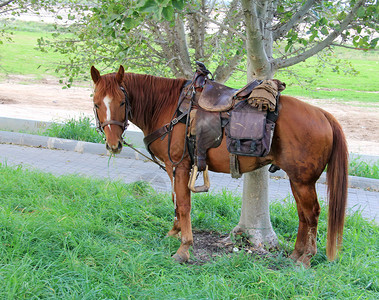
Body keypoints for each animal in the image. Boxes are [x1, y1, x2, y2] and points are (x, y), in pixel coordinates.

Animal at [90, 65, 348, 268]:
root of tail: (324, 115)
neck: (169, 107)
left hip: (302, 181)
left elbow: (184, 204)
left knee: (312, 214)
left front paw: (184, 248)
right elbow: (175, 199)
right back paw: (296, 255)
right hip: (297, 180)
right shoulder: (172, 167)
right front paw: (174, 232)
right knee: (303, 215)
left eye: (122, 101)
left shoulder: (180, 165)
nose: (113, 144)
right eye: (96, 103)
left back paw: (306, 258)